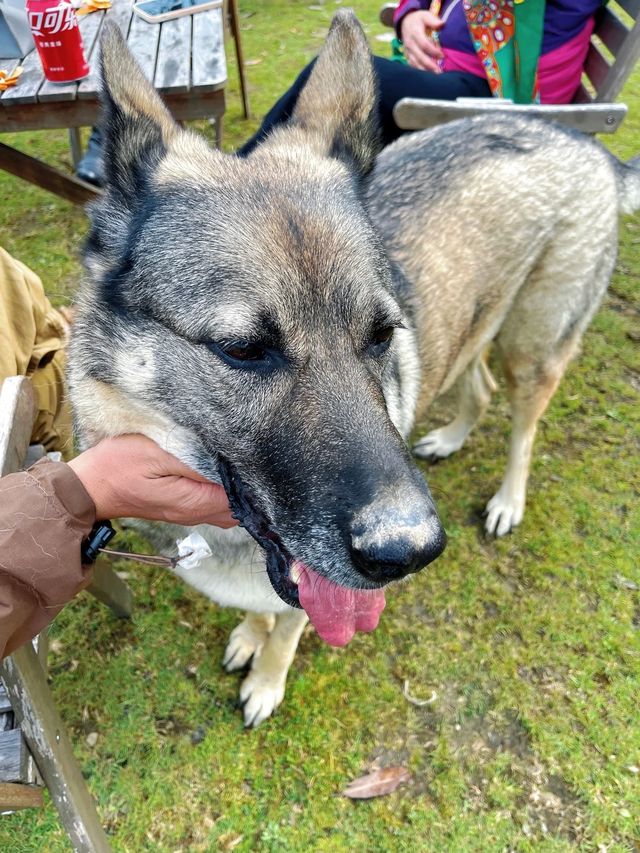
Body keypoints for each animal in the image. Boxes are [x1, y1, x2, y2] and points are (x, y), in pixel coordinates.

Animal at [67, 13, 636, 724]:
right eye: (242, 349)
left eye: (382, 334)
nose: (410, 554)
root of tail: (581, 142)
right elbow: (269, 608)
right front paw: (249, 636)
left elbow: (288, 628)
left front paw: (266, 678)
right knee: (477, 389)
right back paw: (451, 437)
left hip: (530, 349)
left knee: (523, 429)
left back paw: (508, 501)